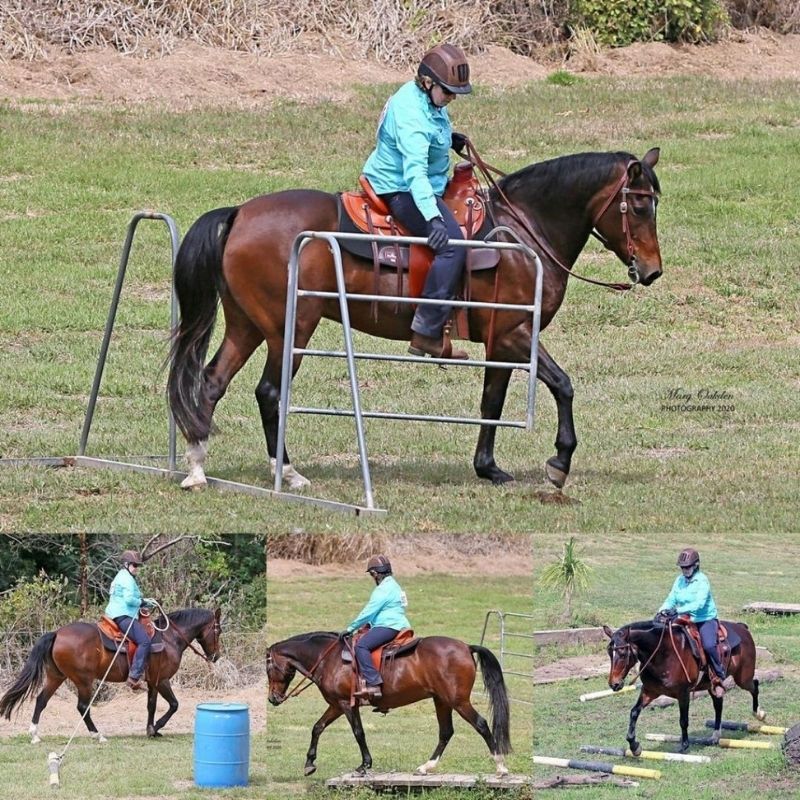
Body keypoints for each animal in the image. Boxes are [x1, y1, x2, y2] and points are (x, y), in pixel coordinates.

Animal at [0, 607, 221, 742]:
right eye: (218, 631)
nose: (216, 656)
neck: (169, 638)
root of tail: (57, 633)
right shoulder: (163, 681)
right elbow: (174, 704)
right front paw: (156, 727)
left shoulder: (153, 682)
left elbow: (151, 706)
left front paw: (151, 730)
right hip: (84, 680)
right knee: (82, 707)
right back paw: (98, 735)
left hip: (56, 677)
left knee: (41, 700)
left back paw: (34, 734)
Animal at [167, 149, 662, 492]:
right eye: (639, 207)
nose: (652, 271)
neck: (524, 232)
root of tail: (239, 214)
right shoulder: (514, 333)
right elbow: (561, 385)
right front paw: (559, 463)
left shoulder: (500, 342)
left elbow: (492, 402)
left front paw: (488, 468)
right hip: (290, 329)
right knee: (269, 392)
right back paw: (287, 473)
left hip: (247, 325)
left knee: (211, 382)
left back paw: (197, 468)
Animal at [267, 631, 511, 776]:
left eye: (268, 668)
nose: (272, 699)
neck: (330, 659)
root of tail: (466, 647)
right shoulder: (336, 705)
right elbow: (317, 727)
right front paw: (310, 763)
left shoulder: (347, 704)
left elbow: (358, 733)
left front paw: (365, 765)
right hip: (442, 701)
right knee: (446, 732)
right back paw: (426, 766)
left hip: (458, 701)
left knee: (481, 724)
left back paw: (500, 766)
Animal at [603, 619, 764, 755]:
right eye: (609, 652)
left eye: (622, 653)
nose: (614, 684)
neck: (663, 654)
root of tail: (742, 627)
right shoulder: (650, 691)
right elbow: (634, 712)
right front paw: (634, 746)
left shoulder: (683, 693)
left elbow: (683, 720)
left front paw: (684, 746)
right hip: (713, 685)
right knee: (719, 704)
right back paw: (715, 736)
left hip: (743, 678)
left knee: (754, 686)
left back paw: (759, 714)